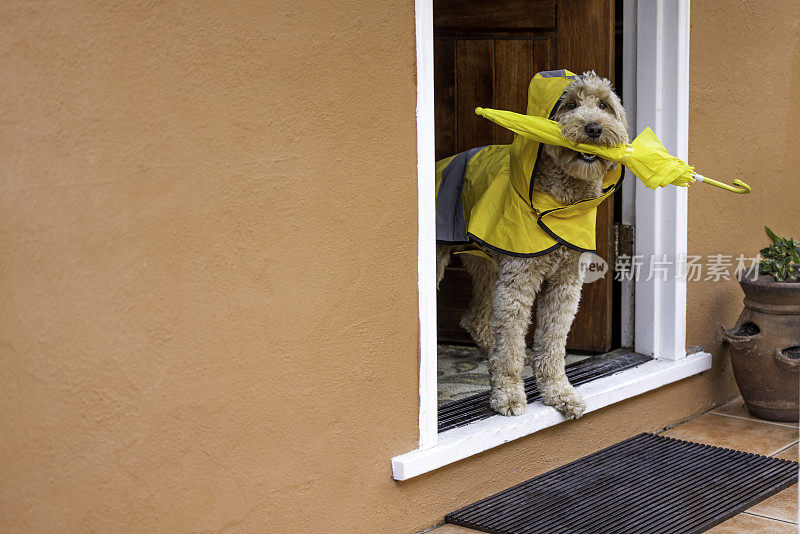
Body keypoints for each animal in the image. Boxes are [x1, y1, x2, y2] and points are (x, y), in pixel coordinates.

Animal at [434, 73, 628, 420]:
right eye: (570, 105)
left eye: (604, 105)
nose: (593, 128)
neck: (562, 199)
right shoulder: (518, 282)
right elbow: (510, 340)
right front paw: (508, 395)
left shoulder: (565, 284)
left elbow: (552, 341)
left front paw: (559, 392)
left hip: (486, 263)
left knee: (477, 319)